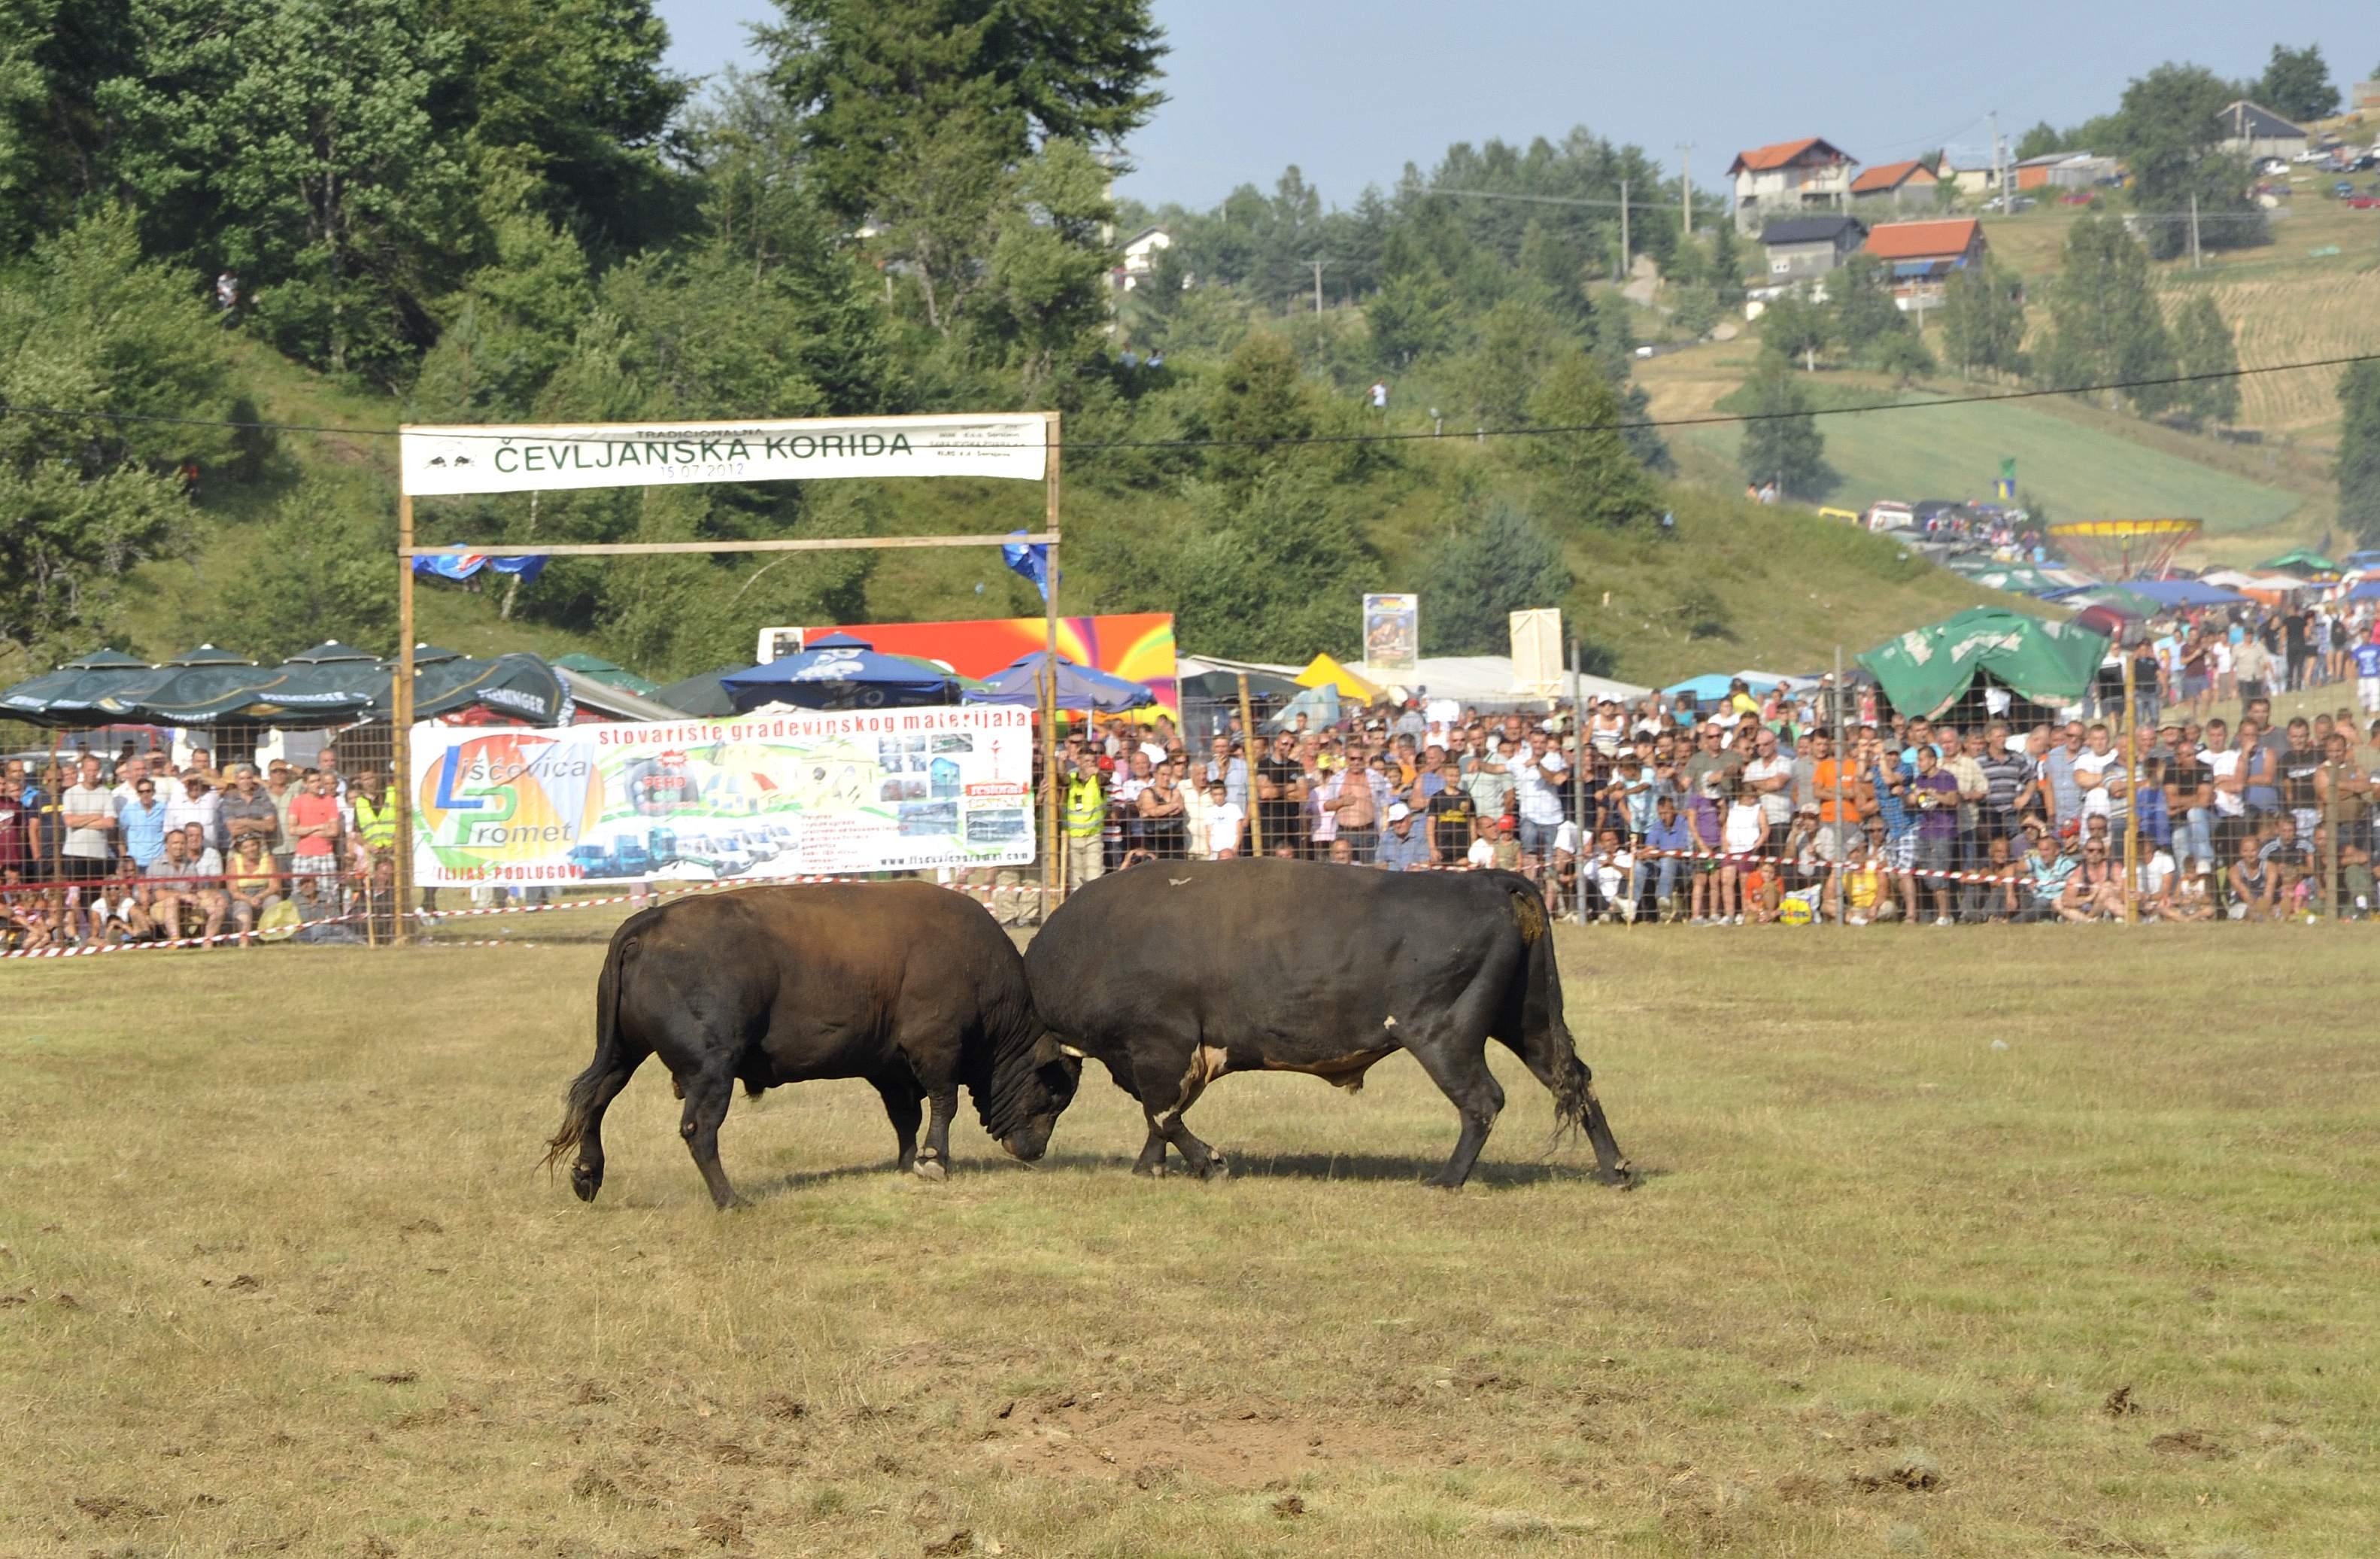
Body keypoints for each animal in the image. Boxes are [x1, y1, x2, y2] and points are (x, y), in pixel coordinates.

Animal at [545, 890, 1076, 1208]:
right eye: (1053, 1095)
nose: (1032, 1151)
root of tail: (646, 924)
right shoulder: (936, 1049)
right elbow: (943, 1105)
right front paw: (933, 1163)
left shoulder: (890, 1067)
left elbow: (905, 1115)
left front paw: (906, 1162)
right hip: (712, 1071)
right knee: (699, 1130)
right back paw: (731, 1200)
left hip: (623, 1054)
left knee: (595, 1099)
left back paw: (587, 1177)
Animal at [1033, 862, 1628, 1190]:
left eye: (1050, 1091)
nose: (1028, 1151)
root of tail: (1489, 882)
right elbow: (1162, 1116)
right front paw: (1150, 1168)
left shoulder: (1163, 1047)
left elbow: (1163, 1113)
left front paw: (1212, 1164)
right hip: (1528, 1023)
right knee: (1574, 1078)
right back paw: (1616, 1169)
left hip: (1443, 1038)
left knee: (1484, 1100)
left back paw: (1446, 1180)